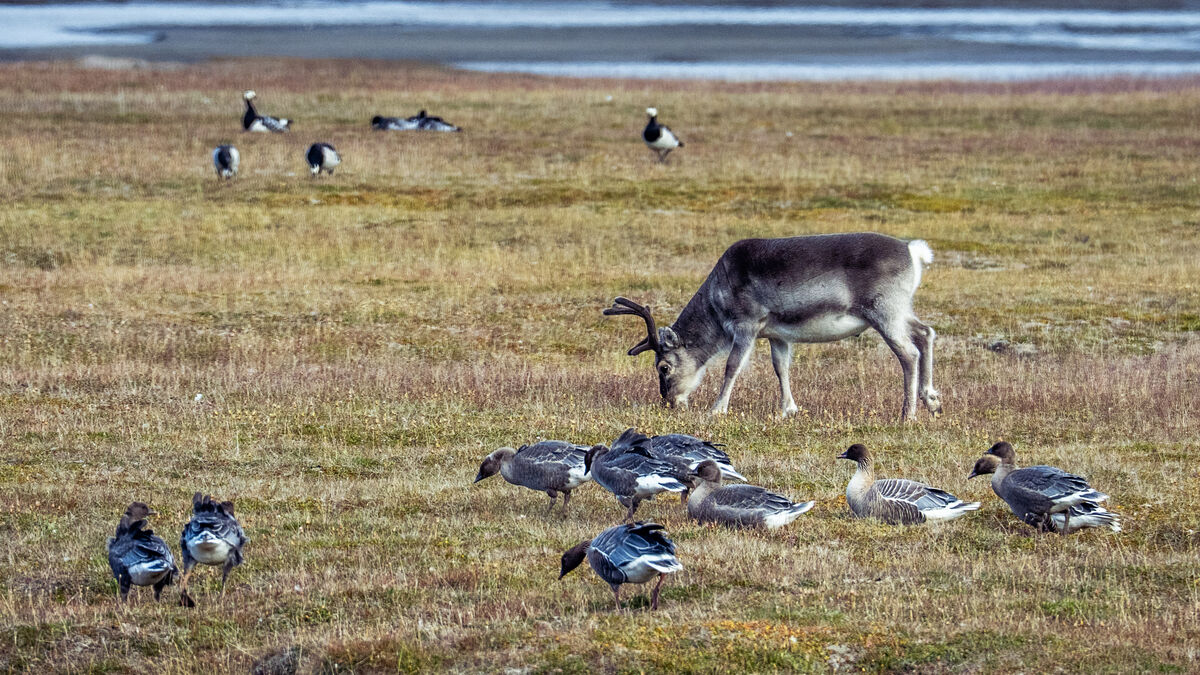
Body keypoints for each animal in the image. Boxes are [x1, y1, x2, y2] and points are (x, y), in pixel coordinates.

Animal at [603, 232, 941, 422]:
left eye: (663, 367)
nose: (670, 402)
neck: (716, 304)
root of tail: (914, 252)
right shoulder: (778, 335)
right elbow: (781, 368)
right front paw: (788, 409)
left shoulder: (747, 324)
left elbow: (732, 366)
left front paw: (717, 409)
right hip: (899, 311)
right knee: (925, 332)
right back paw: (932, 401)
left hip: (885, 312)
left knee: (908, 353)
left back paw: (908, 413)